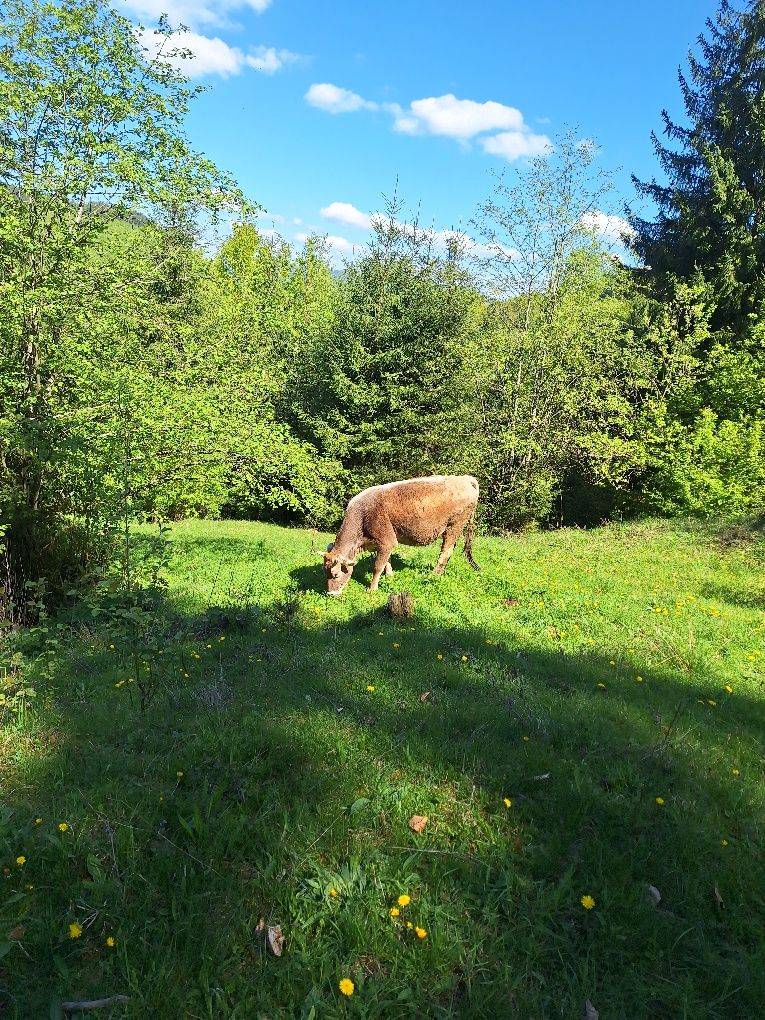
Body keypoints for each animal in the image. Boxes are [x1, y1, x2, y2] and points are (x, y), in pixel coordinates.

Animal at [322, 473, 479, 595]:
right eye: (325, 572)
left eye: (336, 574)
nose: (331, 594)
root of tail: (464, 478)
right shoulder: (383, 544)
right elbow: (387, 561)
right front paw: (390, 577)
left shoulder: (386, 540)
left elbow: (377, 566)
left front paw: (372, 589)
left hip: (454, 526)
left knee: (445, 552)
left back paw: (433, 576)